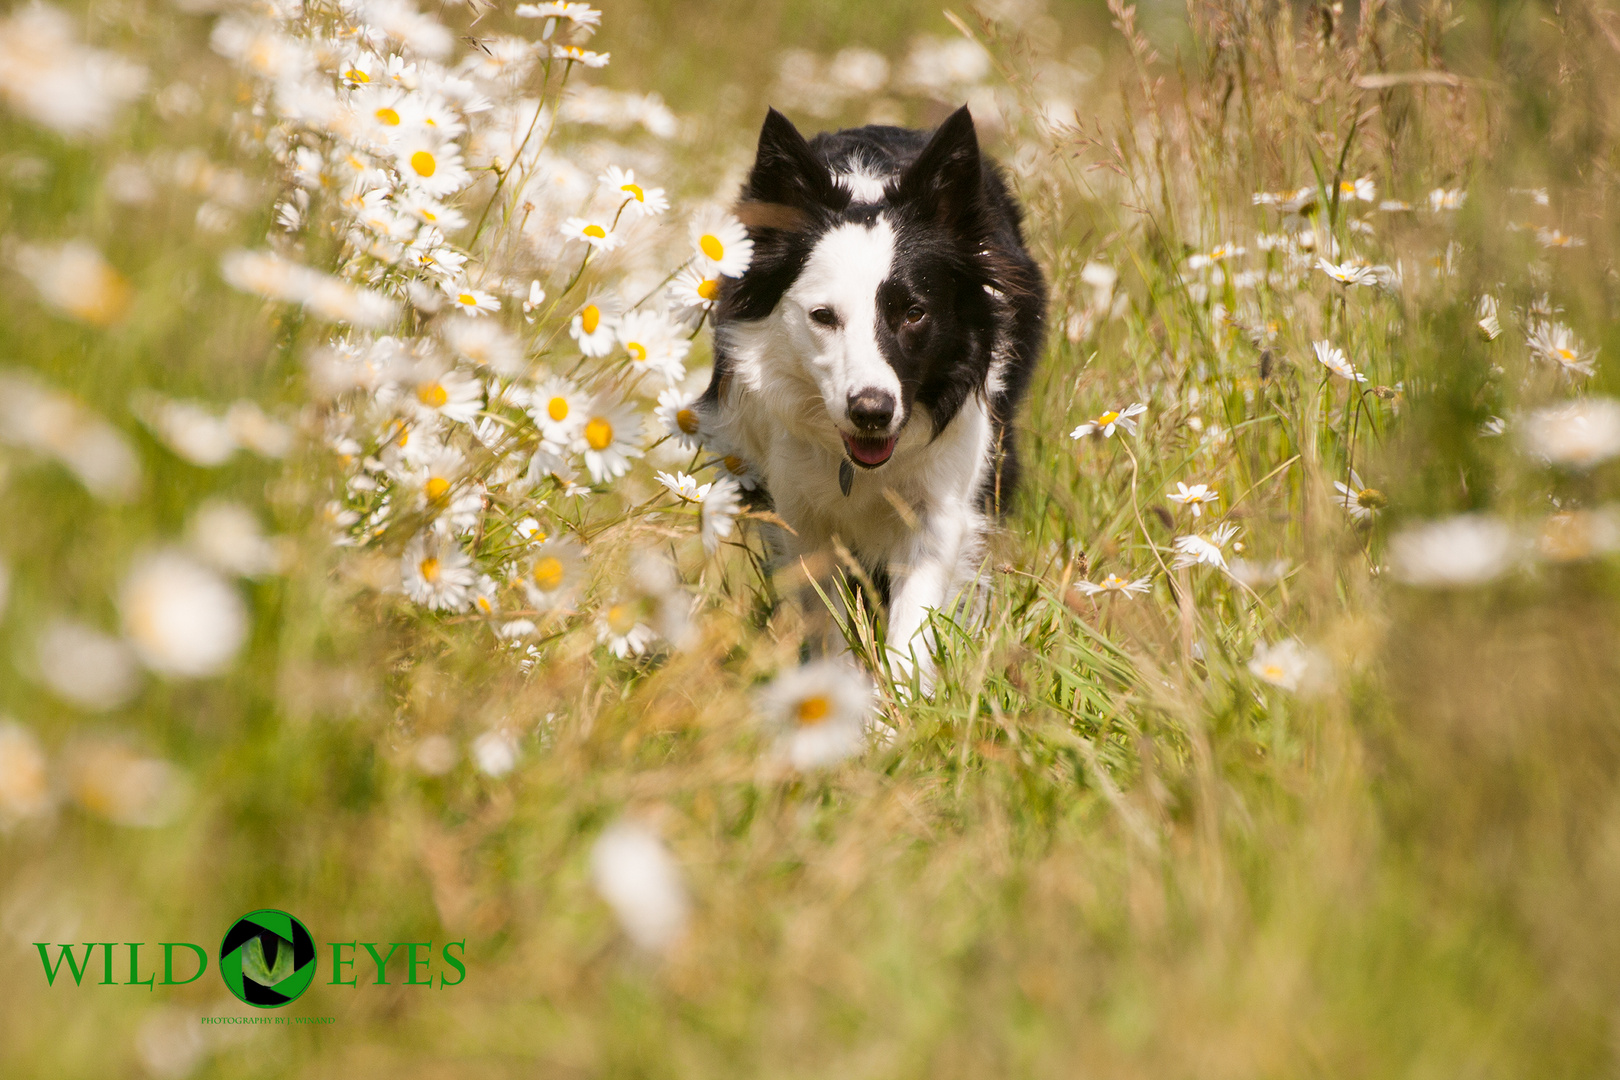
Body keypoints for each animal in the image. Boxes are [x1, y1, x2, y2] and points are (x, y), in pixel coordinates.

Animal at [703, 105, 1043, 689]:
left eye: (914, 312)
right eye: (823, 316)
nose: (872, 414)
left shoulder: (940, 505)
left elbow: (913, 627)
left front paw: (901, 707)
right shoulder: (801, 514)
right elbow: (829, 624)